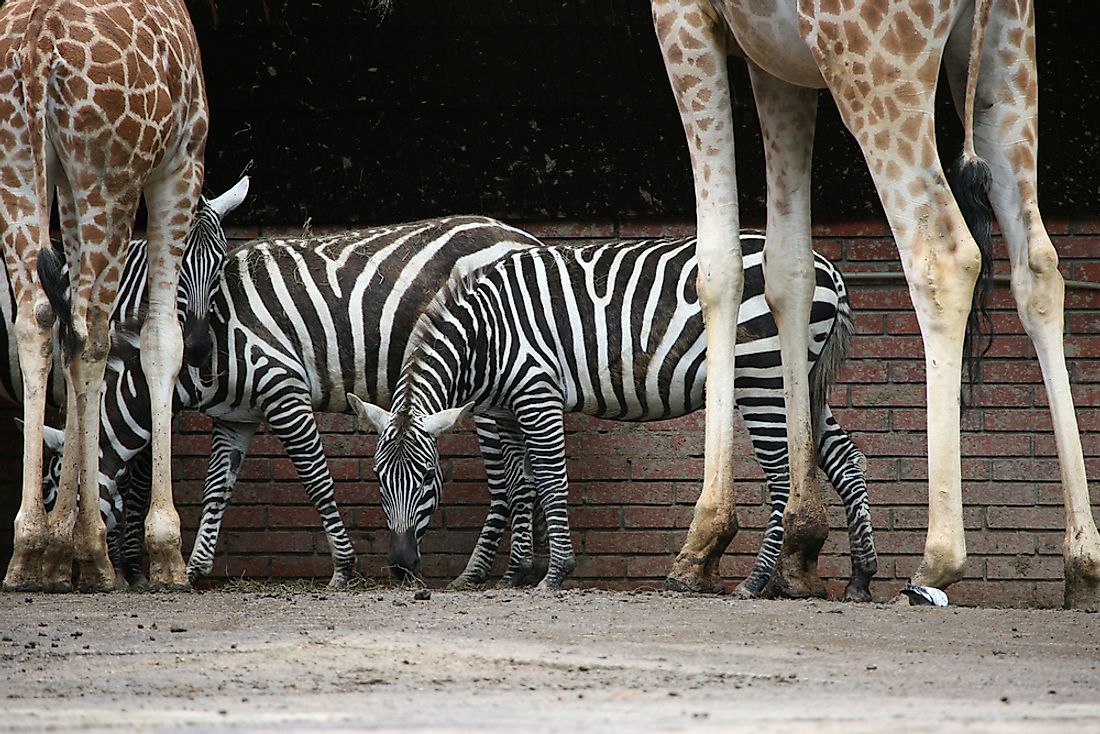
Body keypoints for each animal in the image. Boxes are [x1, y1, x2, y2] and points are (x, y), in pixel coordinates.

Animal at [0, 0, 206, 594]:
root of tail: (36, 44)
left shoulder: (64, 181)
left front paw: (56, 546)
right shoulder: (180, 164)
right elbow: (159, 340)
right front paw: (164, 552)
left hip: (18, 164)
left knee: (40, 320)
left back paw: (28, 549)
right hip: (109, 180)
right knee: (90, 335)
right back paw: (89, 552)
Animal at [8, 179, 246, 589]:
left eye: (219, 264)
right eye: (177, 266)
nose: (199, 347)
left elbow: (139, 475)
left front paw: (129, 565)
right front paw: (120, 566)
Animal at [42, 215, 550, 589]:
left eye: (55, 492)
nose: (59, 577)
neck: (207, 348)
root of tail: (523, 236)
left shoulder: (283, 389)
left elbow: (317, 480)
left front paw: (344, 568)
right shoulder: (236, 417)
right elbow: (216, 489)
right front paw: (193, 570)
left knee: (508, 479)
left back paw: (479, 573)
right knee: (523, 472)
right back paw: (515, 571)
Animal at [347, 235, 880, 598]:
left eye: (427, 477)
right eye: (378, 478)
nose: (400, 566)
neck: (484, 338)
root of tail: (827, 268)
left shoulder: (536, 392)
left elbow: (549, 480)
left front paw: (555, 573)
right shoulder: (508, 408)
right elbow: (520, 486)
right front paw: (515, 573)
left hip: (762, 372)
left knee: (780, 474)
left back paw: (755, 580)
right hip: (805, 382)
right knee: (847, 460)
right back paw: (860, 577)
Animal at [651, 0, 1100, 607]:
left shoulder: (683, 15)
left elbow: (718, 268)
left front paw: (702, 543)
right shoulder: (777, 62)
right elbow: (787, 268)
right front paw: (799, 543)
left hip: (875, 66)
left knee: (942, 255)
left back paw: (937, 560)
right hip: (1007, 60)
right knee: (1039, 267)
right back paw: (1082, 561)